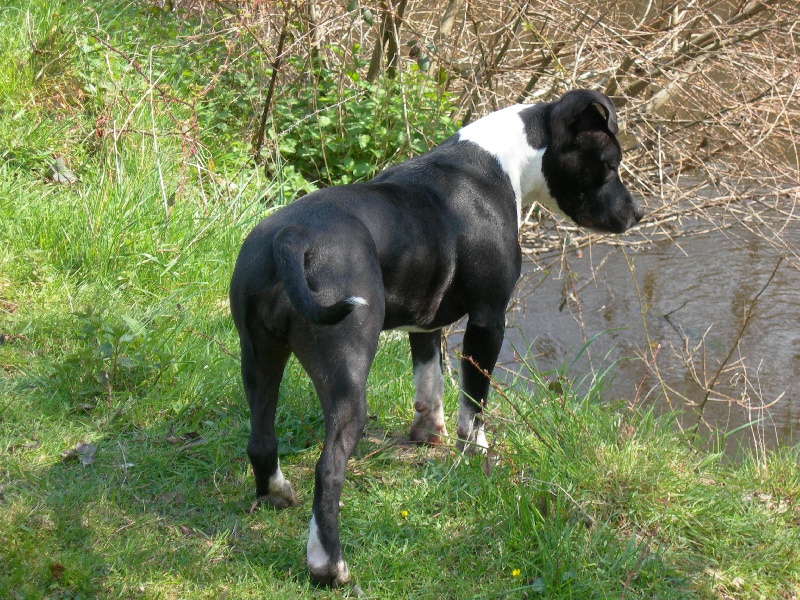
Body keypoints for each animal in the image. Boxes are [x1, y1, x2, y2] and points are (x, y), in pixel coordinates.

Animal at [228, 89, 640, 584]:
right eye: (611, 163)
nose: (638, 213)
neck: (505, 161)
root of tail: (292, 237)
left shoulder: (426, 319)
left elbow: (430, 378)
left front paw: (429, 431)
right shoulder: (488, 320)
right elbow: (474, 398)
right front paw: (475, 450)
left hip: (259, 356)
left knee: (260, 438)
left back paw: (276, 493)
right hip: (346, 370)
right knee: (329, 468)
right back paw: (329, 565)